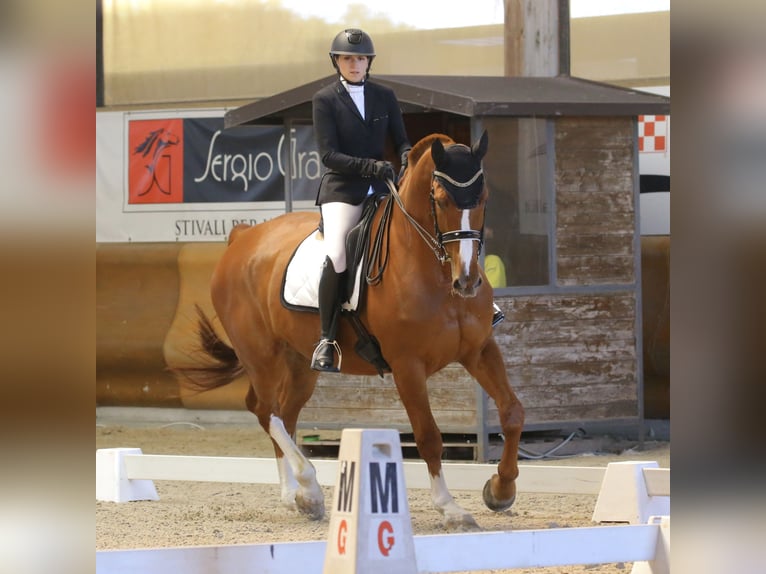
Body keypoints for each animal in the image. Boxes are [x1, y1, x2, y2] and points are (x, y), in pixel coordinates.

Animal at [176, 131, 525, 529]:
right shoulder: (407, 366)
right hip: (260, 354)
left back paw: (294, 496)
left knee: (284, 414)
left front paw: (501, 489)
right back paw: (309, 488)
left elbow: (513, 412)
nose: (466, 281)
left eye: (483, 198)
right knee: (267, 411)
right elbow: (429, 436)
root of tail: (242, 238)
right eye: (440, 199)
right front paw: (450, 508)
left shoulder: (479, 350)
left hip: (300, 362)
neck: (433, 274)